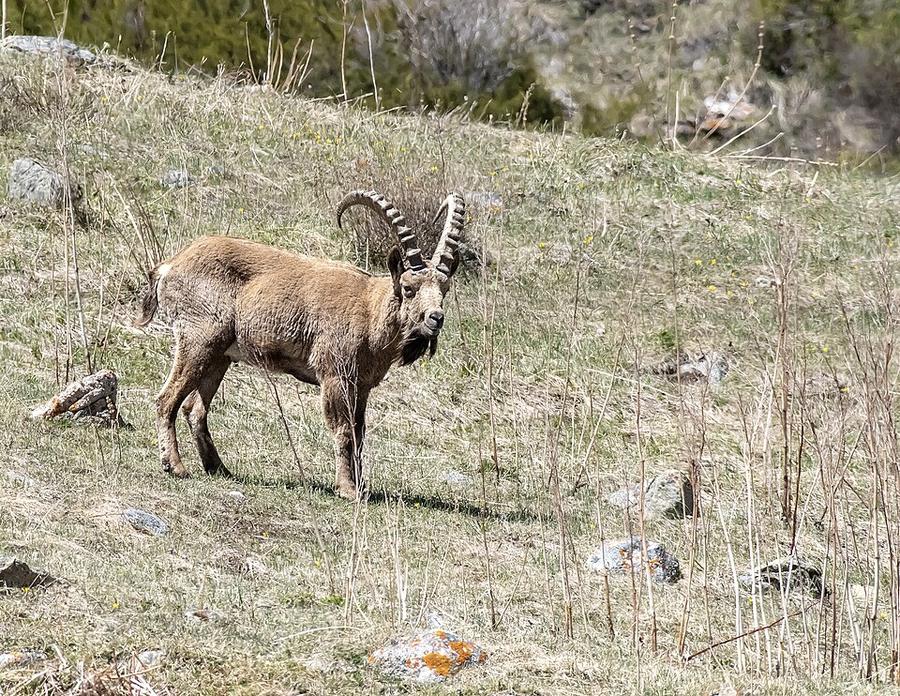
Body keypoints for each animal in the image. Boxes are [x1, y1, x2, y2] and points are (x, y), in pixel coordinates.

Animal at [136, 190, 466, 499]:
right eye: (409, 289)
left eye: (445, 288)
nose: (436, 318)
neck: (370, 312)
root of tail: (170, 266)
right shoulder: (335, 376)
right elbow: (343, 431)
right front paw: (346, 489)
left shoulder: (361, 386)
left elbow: (359, 433)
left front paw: (361, 487)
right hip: (198, 340)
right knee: (166, 399)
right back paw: (175, 466)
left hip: (220, 356)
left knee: (195, 409)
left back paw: (219, 468)